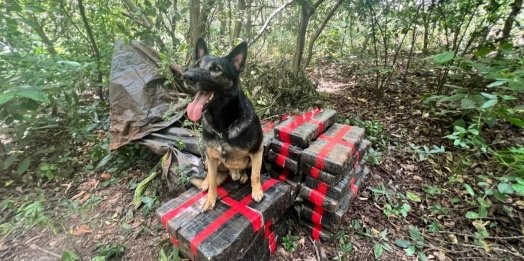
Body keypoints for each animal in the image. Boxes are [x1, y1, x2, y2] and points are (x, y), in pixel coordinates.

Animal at [184, 37, 266, 211]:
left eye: (216, 68)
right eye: (196, 65)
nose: (186, 76)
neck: (222, 127)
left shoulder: (257, 151)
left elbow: (255, 175)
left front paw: (257, 191)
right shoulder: (211, 157)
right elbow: (213, 182)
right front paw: (210, 199)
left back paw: (241, 175)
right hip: (209, 158)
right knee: (211, 175)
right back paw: (207, 182)